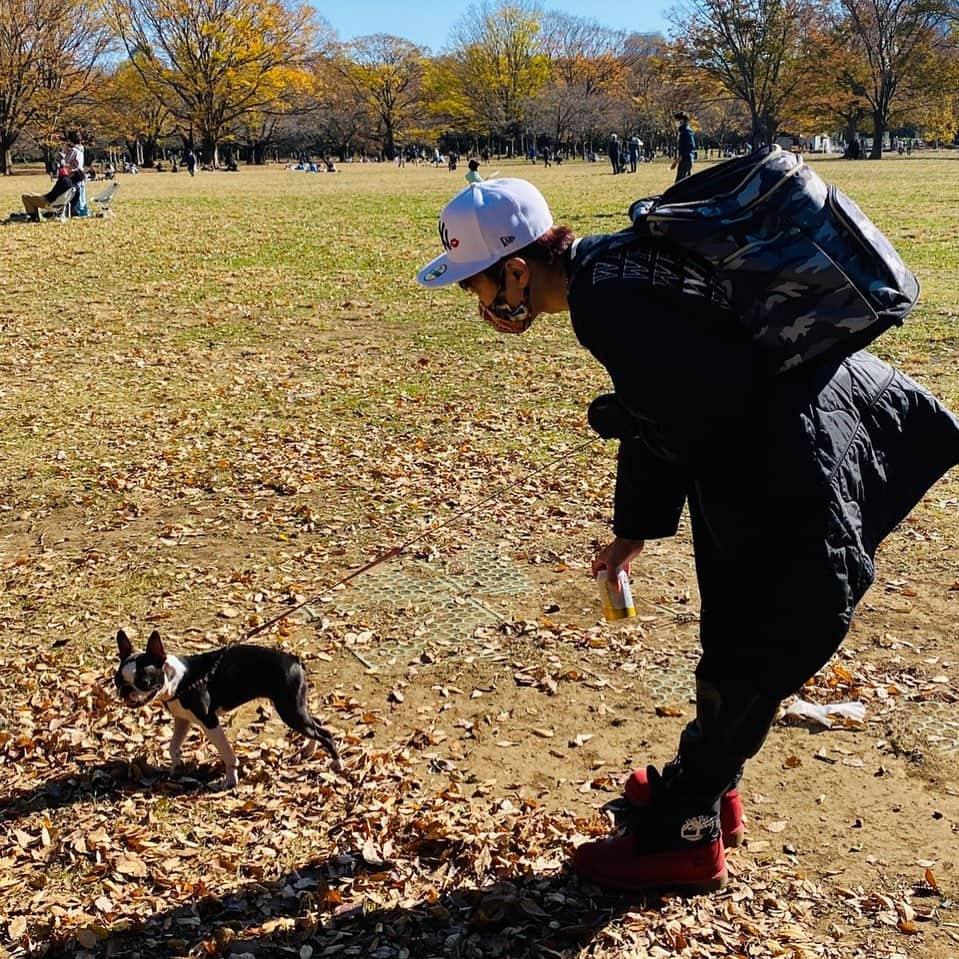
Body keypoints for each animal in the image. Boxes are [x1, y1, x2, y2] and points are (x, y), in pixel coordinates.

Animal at [115, 632, 342, 788]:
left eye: (143, 682)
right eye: (116, 680)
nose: (125, 690)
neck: (178, 681)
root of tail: (295, 660)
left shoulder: (209, 722)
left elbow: (227, 753)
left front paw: (230, 780)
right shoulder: (183, 719)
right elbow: (173, 746)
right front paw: (176, 767)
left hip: (289, 710)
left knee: (325, 733)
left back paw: (337, 764)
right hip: (296, 708)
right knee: (316, 725)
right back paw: (310, 749)